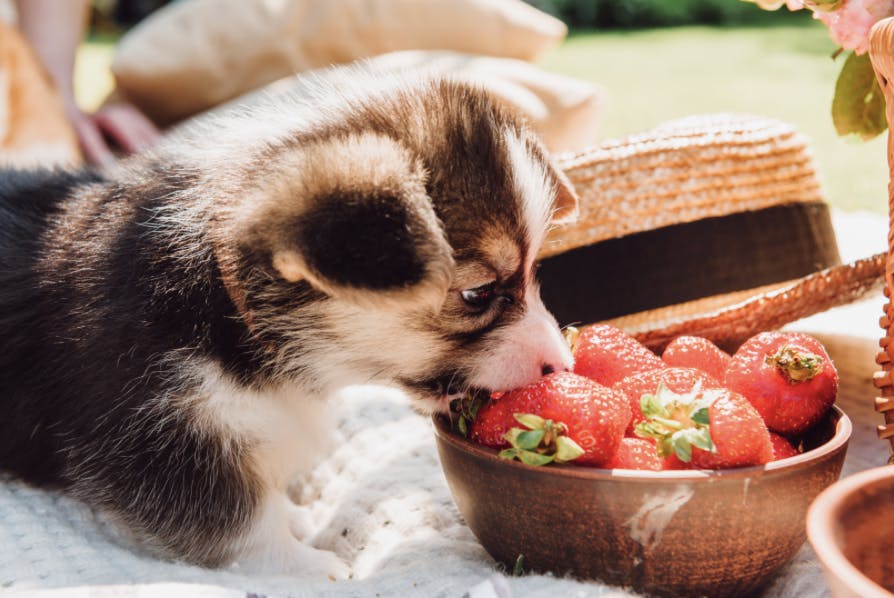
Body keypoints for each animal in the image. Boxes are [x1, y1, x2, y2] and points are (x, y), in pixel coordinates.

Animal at [0, 69, 576, 576]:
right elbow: (237, 520)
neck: (229, 308)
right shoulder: (156, 441)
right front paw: (308, 566)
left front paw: (296, 519)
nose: (562, 363)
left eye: (536, 272)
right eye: (478, 294)